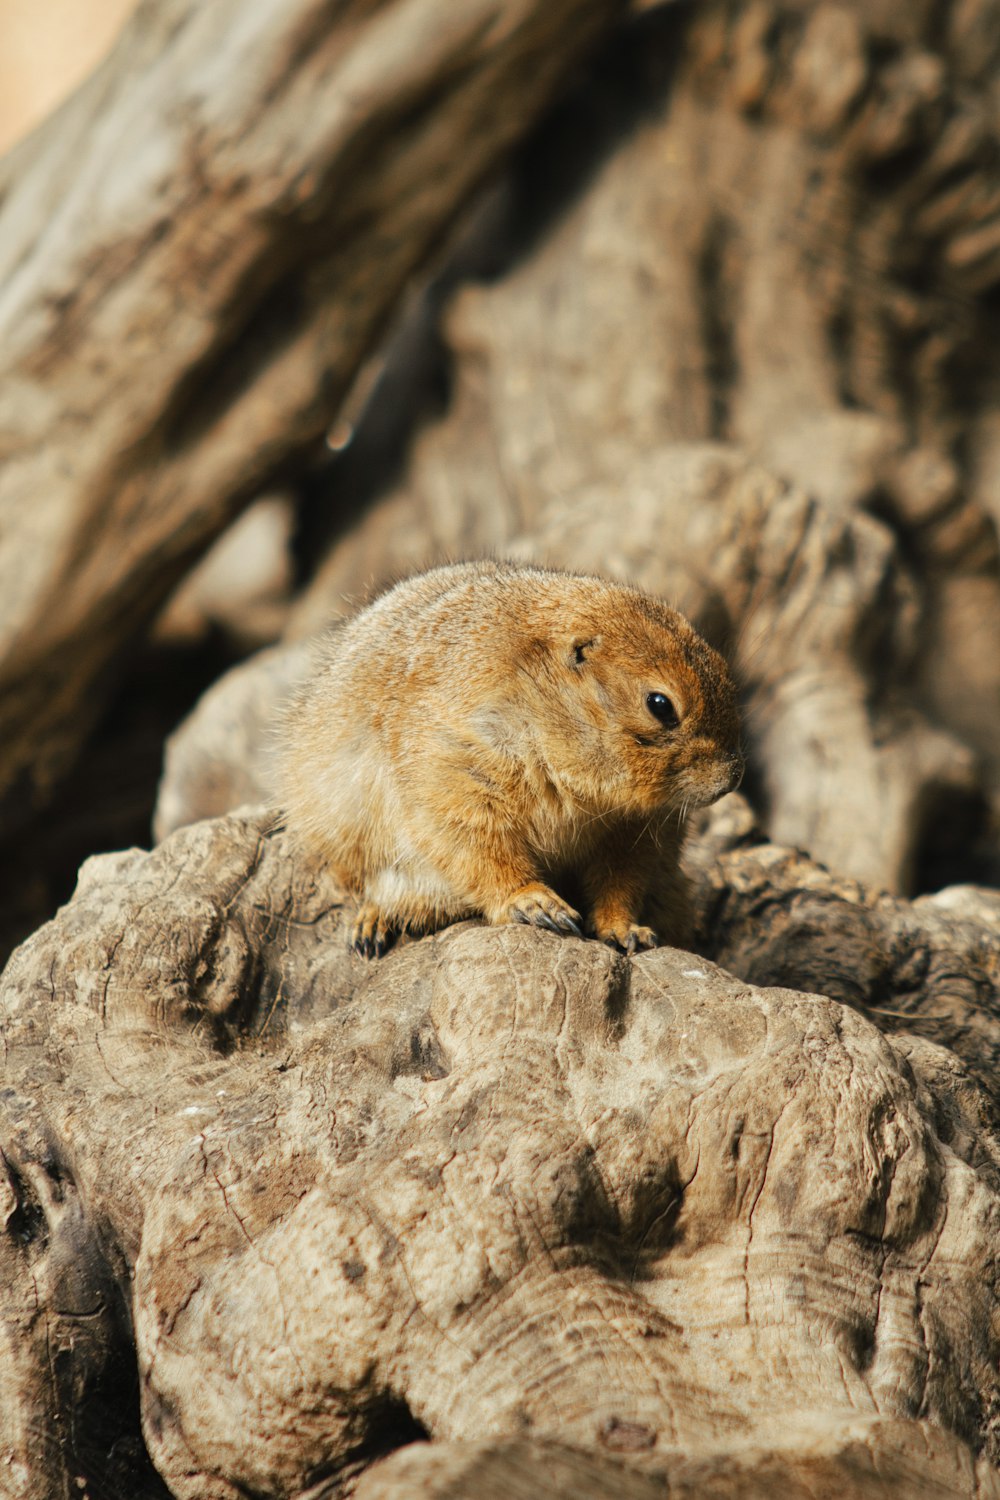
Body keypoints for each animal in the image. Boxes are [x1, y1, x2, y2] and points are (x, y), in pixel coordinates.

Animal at [281, 564, 743, 960]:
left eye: (725, 669)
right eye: (660, 704)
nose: (731, 779)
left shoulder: (638, 828)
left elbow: (622, 877)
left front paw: (625, 930)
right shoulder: (455, 768)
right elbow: (475, 844)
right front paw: (535, 903)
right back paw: (373, 925)